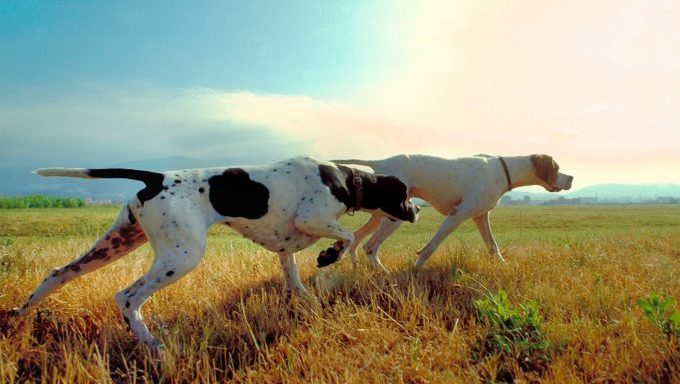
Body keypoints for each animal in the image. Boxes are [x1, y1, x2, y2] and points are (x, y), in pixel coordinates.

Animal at [11, 155, 420, 348]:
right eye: (403, 194)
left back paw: (18, 318)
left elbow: (293, 276)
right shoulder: (312, 217)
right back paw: (153, 345)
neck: (343, 177)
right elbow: (348, 237)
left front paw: (307, 298)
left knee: (57, 274)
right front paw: (327, 257)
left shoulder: (286, 244)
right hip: (182, 257)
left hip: (115, 244)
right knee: (126, 297)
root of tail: (156, 177)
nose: (417, 210)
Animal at [338, 154, 572, 270]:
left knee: (357, 239)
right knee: (370, 246)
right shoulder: (457, 215)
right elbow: (429, 248)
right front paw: (416, 270)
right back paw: (384, 275)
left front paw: (504, 266)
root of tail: (380, 162)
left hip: (379, 216)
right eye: (558, 168)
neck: (503, 169)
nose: (571, 178)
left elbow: (493, 247)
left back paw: (358, 268)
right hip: (394, 218)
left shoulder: (480, 218)